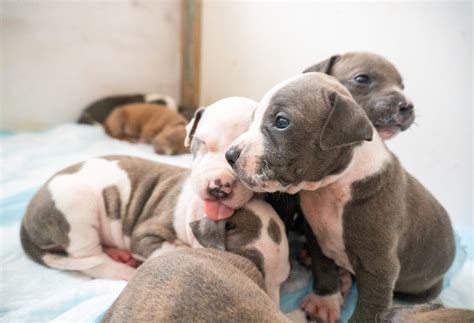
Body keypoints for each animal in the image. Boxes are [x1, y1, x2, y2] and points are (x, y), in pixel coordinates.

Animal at [20, 97, 262, 282]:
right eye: (201, 143)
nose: (219, 186)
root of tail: (26, 217)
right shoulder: (144, 235)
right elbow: (171, 249)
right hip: (76, 210)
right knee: (91, 260)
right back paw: (122, 270)